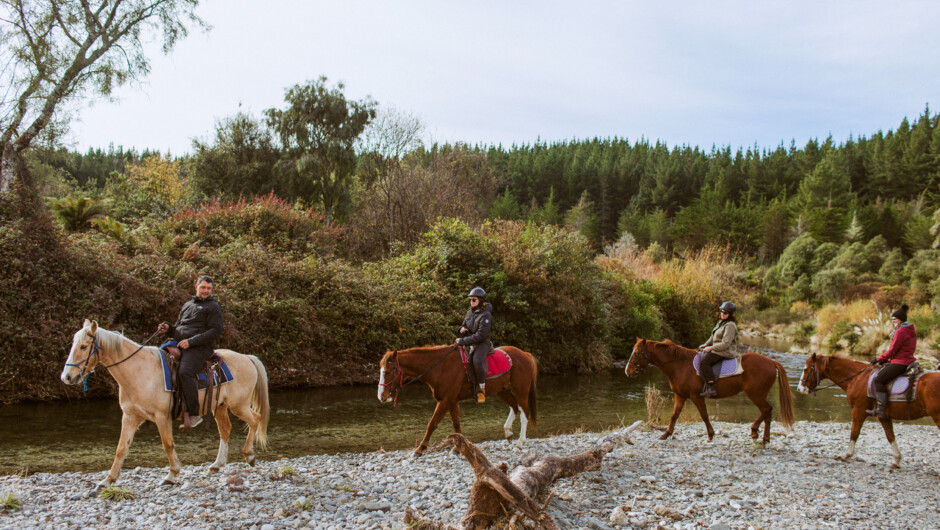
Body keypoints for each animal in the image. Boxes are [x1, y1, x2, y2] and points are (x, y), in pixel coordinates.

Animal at [60, 320, 270, 488]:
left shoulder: (161, 417)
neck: (139, 371)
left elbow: (167, 444)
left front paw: (172, 474)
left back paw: (249, 455)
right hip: (219, 407)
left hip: (238, 405)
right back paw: (216, 465)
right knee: (225, 429)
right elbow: (121, 448)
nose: (67, 377)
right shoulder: (130, 417)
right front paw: (108, 480)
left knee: (255, 419)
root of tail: (247, 358)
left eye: (84, 346)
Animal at [374, 342, 536, 454]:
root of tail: (525, 354)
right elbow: (456, 424)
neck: (440, 367)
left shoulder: (445, 401)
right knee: (514, 407)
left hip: (521, 392)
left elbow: (432, 424)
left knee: (524, 414)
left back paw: (519, 443)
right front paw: (459, 447)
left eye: (387, 372)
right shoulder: (451, 401)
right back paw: (508, 433)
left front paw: (420, 449)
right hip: (503, 391)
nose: (381, 396)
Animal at [624, 338, 792, 442]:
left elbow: (704, 415)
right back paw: (765, 438)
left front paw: (710, 435)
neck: (680, 366)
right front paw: (666, 434)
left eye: (636, 353)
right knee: (767, 412)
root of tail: (771, 361)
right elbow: (674, 415)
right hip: (759, 394)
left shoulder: (696, 396)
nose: (628, 371)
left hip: (755, 394)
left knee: (766, 410)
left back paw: (754, 431)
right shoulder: (680, 396)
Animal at [796, 350, 940, 466]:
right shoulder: (883, 416)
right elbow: (890, 436)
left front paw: (846, 455)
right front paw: (896, 460)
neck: (857, 378)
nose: (800, 389)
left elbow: (854, 432)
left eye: (806, 369)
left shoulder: (858, 411)